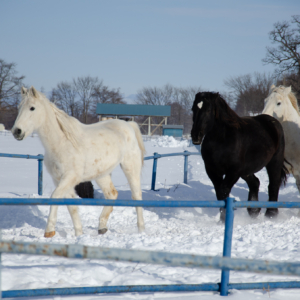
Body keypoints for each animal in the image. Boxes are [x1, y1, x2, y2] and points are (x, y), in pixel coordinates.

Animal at [12, 86, 146, 237]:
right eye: (19, 107)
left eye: (32, 108)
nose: (17, 131)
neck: (61, 143)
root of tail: (128, 124)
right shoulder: (59, 180)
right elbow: (72, 207)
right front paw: (79, 234)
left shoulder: (70, 178)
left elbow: (55, 196)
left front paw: (49, 231)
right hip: (102, 175)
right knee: (112, 194)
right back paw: (102, 227)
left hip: (130, 168)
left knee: (137, 196)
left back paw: (141, 230)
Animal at [192, 91, 288, 220]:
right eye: (193, 109)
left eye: (208, 110)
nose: (195, 136)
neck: (222, 140)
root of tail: (274, 122)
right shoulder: (212, 171)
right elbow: (219, 193)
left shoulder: (233, 171)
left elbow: (224, 191)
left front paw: (224, 219)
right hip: (246, 170)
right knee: (255, 182)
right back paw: (254, 211)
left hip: (274, 162)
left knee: (273, 184)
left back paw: (271, 214)